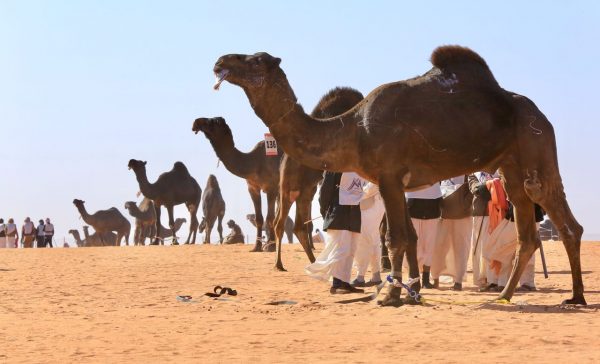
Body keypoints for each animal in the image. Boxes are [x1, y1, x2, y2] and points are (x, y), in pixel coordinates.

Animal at [195, 118, 284, 252]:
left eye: (213, 122)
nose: (196, 122)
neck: (255, 162)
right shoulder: (253, 188)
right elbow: (259, 218)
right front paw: (257, 247)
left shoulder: (271, 188)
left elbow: (270, 217)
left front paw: (271, 247)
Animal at [274, 87, 366, 270]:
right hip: (289, 189)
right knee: (280, 224)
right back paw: (279, 264)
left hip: (305, 191)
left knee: (299, 226)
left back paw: (313, 262)